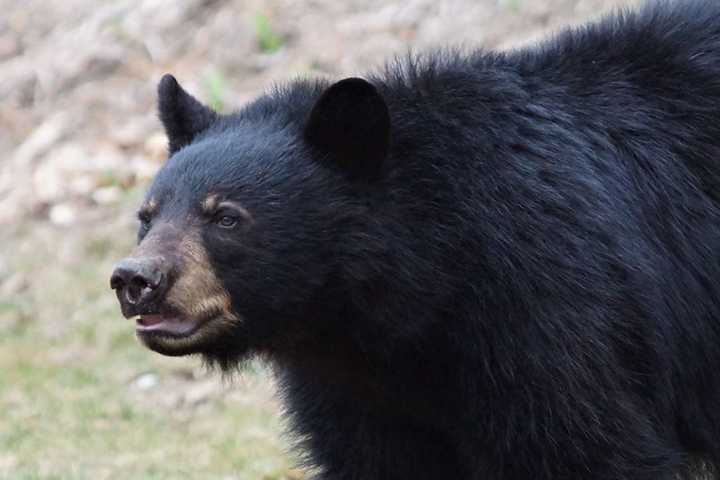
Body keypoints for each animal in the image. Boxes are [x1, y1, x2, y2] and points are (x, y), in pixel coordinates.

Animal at [112, 1, 720, 478]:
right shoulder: (356, 393)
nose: (135, 280)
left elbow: (589, 446)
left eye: (226, 218)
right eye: (147, 216)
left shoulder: (552, 306)